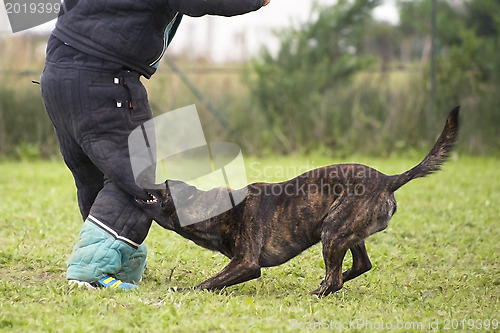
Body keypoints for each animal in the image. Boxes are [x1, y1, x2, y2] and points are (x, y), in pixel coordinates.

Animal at [137, 106, 460, 296]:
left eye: (163, 186)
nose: (140, 178)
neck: (219, 211)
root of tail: (388, 179)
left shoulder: (246, 263)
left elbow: (209, 282)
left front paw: (183, 291)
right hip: (346, 232)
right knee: (360, 265)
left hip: (332, 231)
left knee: (336, 278)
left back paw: (319, 293)